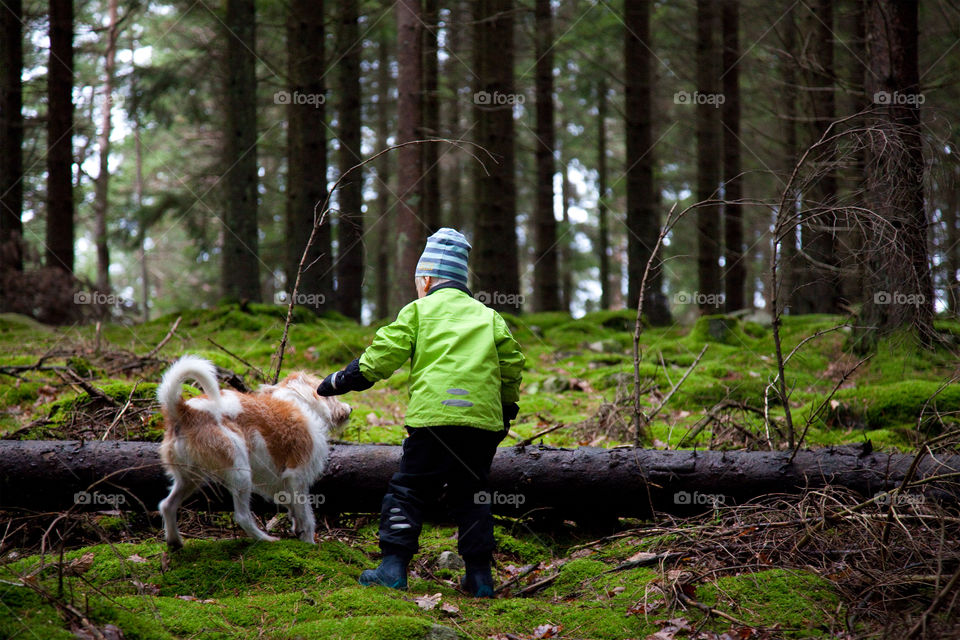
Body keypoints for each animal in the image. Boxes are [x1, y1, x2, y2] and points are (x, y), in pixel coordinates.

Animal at [156, 356, 350, 552]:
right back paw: (265, 539)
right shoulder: (298, 476)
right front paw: (309, 543)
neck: (298, 401)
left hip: (189, 477)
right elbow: (306, 516)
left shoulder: (280, 482)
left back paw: (174, 541)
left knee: (167, 505)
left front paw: (297, 528)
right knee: (242, 516)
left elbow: (292, 506)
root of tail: (184, 410)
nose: (349, 409)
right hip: (239, 471)